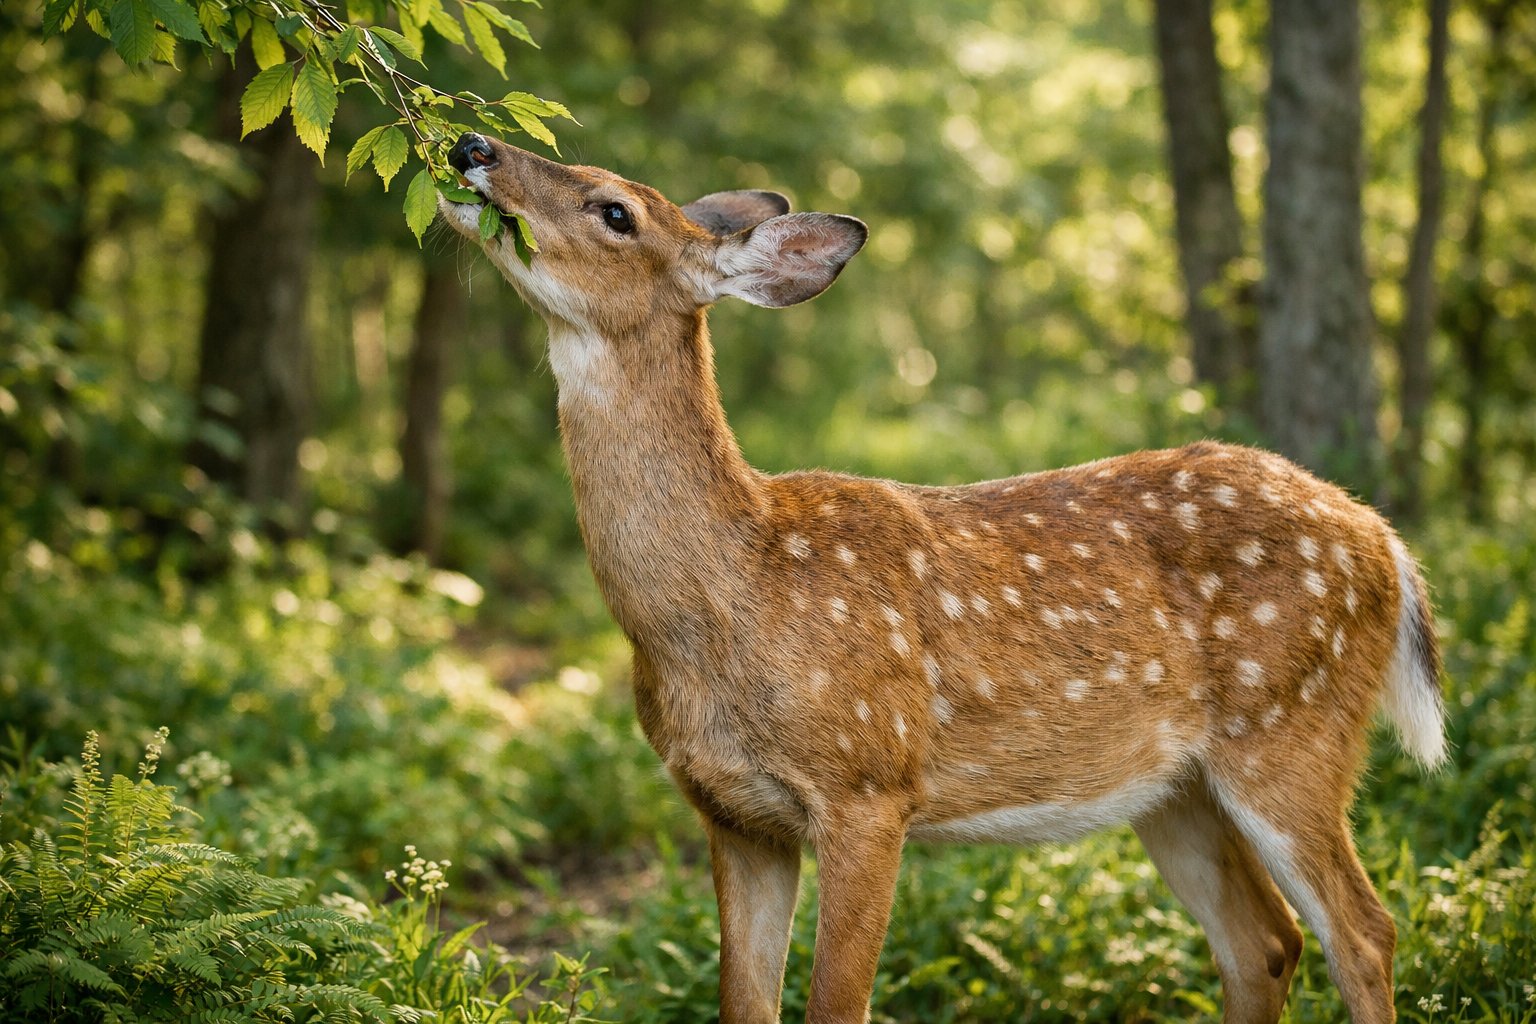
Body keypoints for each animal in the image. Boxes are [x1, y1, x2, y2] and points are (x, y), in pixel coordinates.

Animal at [438, 131, 1447, 1024]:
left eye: (616, 210)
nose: (471, 146)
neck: (730, 601)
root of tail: (1384, 539)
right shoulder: (733, 814)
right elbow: (744, 1006)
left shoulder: (868, 784)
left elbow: (835, 1006)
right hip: (1177, 789)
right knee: (1262, 943)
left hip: (1291, 729)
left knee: (1364, 931)